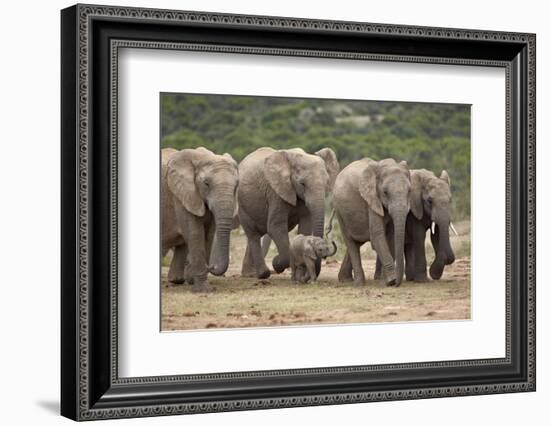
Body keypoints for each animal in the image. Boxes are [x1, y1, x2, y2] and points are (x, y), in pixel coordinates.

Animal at [164, 147, 242, 292]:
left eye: (236, 185)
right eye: (206, 184)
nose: (211, 266)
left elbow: (209, 234)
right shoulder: (181, 194)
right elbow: (195, 233)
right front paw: (204, 290)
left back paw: (176, 280)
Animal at [238, 147, 340, 280]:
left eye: (327, 183)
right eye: (302, 184)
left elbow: (306, 225)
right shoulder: (275, 192)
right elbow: (275, 226)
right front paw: (276, 264)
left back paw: (250, 274)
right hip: (242, 204)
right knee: (253, 234)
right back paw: (263, 274)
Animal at [334, 157, 412, 286]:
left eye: (410, 191)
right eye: (385, 192)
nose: (397, 283)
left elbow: (390, 236)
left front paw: (385, 280)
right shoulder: (371, 199)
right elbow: (377, 235)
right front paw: (391, 281)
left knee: (357, 242)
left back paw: (345, 280)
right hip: (339, 211)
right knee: (351, 242)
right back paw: (359, 284)